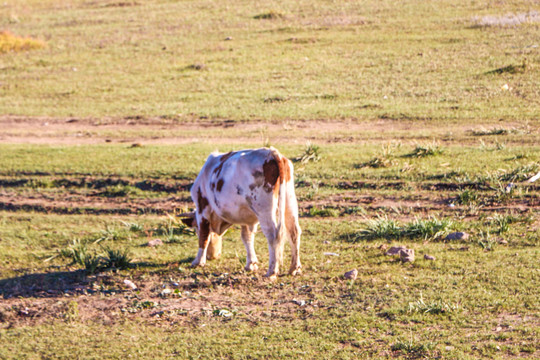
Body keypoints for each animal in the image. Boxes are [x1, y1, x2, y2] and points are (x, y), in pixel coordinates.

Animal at [180, 146, 300, 278]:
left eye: (195, 229)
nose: (212, 256)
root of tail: (271, 153)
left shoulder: (202, 207)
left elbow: (204, 235)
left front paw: (198, 261)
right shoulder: (245, 217)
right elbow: (247, 237)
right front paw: (251, 264)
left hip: (264, 209)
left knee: (273, 235)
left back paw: (272, 271)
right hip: (289, 201)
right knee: (294, 231)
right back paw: (294, 268)